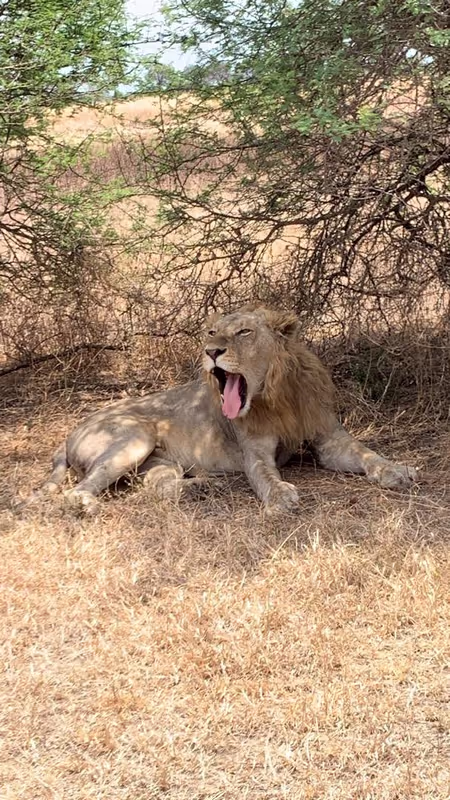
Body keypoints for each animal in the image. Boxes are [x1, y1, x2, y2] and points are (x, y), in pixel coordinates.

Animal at [38, 305, 416, 513]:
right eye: (211, 332)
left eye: (244, 332)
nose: (211, 351)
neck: (276, 394)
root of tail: (71, 432)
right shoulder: (255, 451)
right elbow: (265, 475)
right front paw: (280, 496)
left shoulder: (330, 440)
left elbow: (368, 454)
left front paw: (398, 470)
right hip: (134, 439)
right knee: (77, 489)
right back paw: (85, 505)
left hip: (157, 463)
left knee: (160, 486)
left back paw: (202, 489)